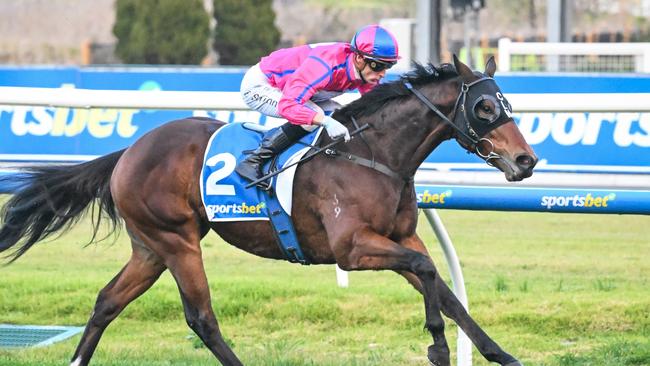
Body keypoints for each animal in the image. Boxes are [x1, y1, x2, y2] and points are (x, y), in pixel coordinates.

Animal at [0, 55, 536, 364]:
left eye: (507, 104)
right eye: (486, 108)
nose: (526, 160)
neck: (373, 154)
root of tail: (130, 150)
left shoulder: (400, 238)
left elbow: (444, 289)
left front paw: (500, 354)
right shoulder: (353, 248)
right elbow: (428, 275)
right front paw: (437, 346)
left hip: (149, 248)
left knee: (107, 301)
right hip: (177, 241)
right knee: (201, 318)